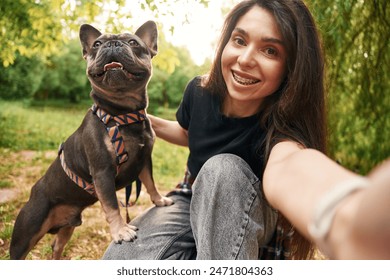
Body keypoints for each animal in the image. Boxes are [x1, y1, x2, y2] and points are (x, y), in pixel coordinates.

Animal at [9, 20, 172, 260]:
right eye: (96, 44)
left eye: (133, 42)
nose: (112, 44)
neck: (122, 114)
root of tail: (34, 191)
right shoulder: (102, 172)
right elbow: (112, 205)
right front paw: (121, 230)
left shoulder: (144, 160)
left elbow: (150, 182)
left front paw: (160, 200)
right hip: (25, 234)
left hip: (66, 229)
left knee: (56, 246)